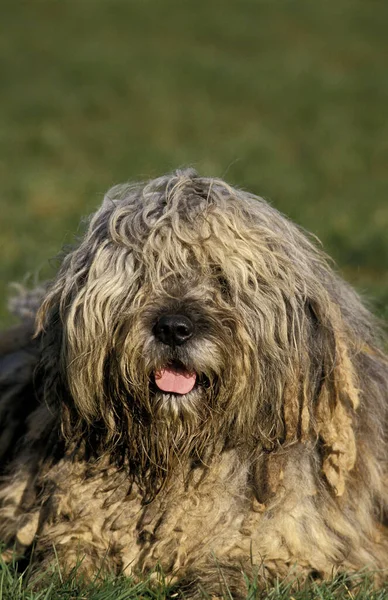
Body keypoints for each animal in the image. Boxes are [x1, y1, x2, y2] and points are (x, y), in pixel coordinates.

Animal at [0, 169, 388, 596]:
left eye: (221, 278)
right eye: (142, 274)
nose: (173, 328)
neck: (181, 455)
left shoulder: (297, 544)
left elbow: (246, 566)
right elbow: (68, 550)